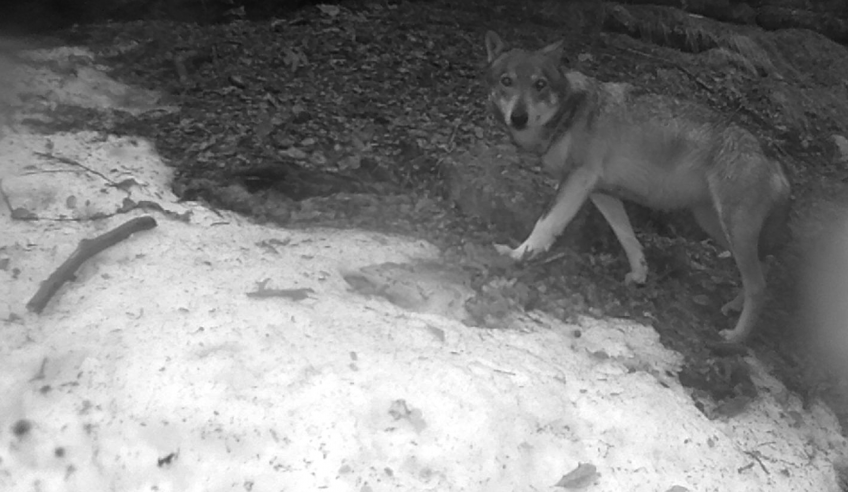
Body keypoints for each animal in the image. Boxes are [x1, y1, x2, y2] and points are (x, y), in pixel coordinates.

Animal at [483, 31, 791, 342]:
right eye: (506, 81)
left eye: (539, 84)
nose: (518, 117)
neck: (569, 112)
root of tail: (773, 159)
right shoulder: (600, 192)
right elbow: (627, 237)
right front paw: (640, 275)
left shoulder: (578, 179)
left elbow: (545, 224)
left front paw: (518, 254)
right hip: (714, 225)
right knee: (762, 268)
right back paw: (733, 307)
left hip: (733, 230)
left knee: (759, 287)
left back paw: (734, 338)